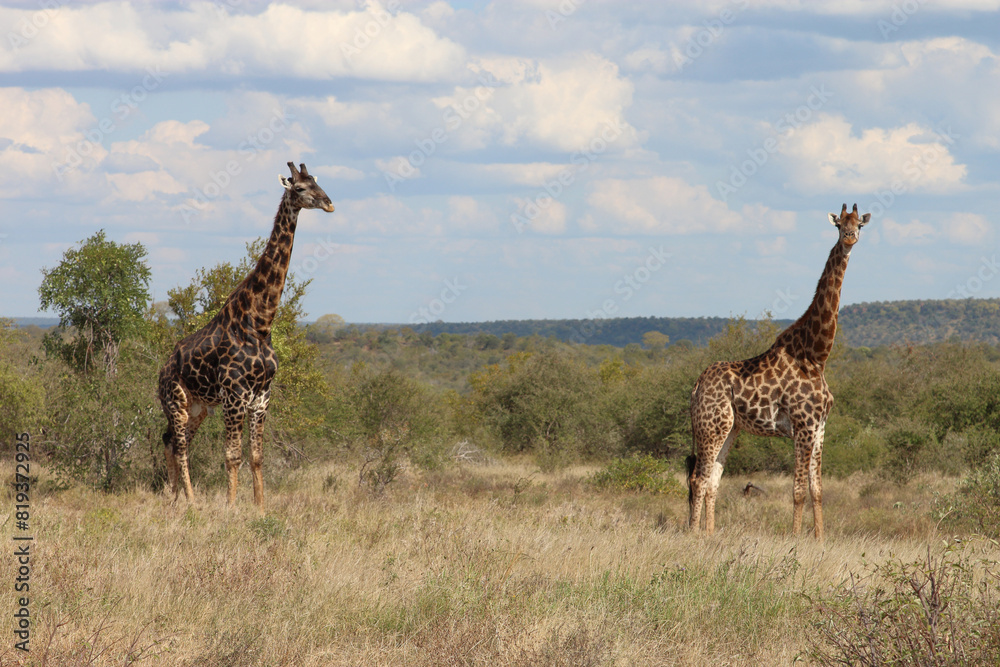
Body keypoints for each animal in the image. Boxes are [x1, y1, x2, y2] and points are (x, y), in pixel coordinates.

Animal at [158, 162, 334, 509]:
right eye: (299, 188)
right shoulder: (234, 395)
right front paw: (230, 505)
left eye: (318, 183)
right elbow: (232, 456)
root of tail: (160, 373)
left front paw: (260, 507)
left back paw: (174, 497)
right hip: (176, 402)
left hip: (198, 407)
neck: (259, 323)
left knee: (170, 441)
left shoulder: (262, 397)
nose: (329, 203)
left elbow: (256, 457)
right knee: (180, 447)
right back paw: (190, 500)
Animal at [687, 203, 870, 541]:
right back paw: (693, 534)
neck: (816, 356)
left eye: (859, 225)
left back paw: (710, 533)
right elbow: (797, 490)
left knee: (713, 479)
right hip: (711, 426)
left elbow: (817, 489)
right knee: (698, 479)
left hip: (730, 428)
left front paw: (819, 539)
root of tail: (695, 388)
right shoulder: (802, 425)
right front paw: (796, 538)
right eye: (839, 224)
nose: (850, 238)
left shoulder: (820, 428)